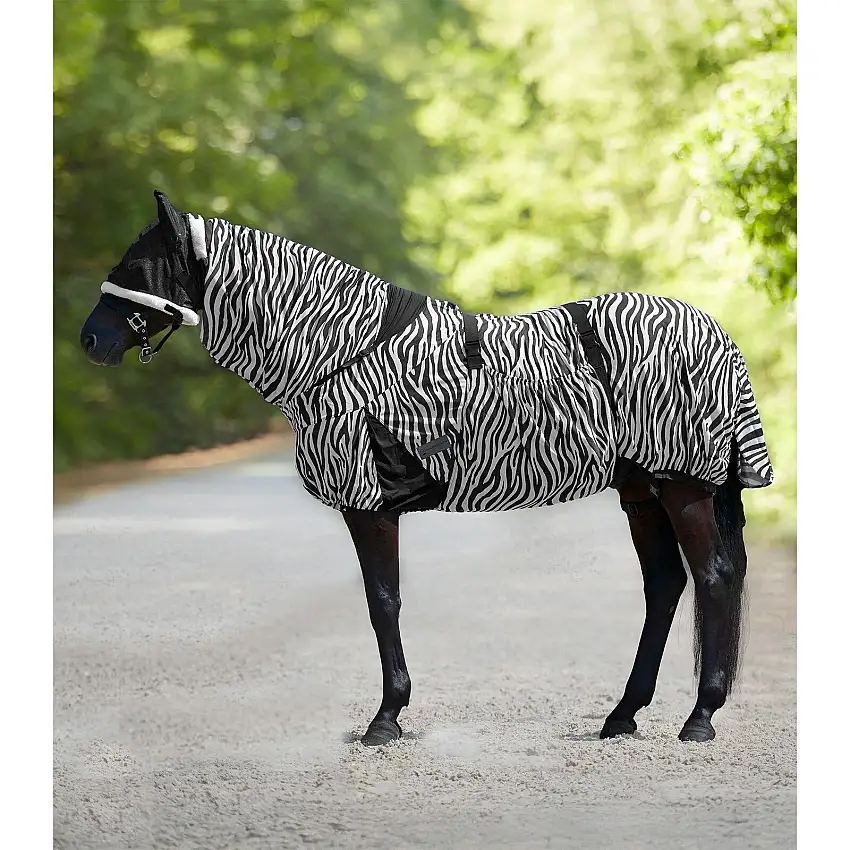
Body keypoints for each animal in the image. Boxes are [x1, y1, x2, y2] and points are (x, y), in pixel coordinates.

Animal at [80, 191, 774, 746]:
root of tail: (716, 331)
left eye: (137, 266)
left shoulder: (368, 506)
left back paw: (699, 718)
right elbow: (383, 602)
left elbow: (382, 602)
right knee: (666, 586)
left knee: (713, 579)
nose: (90, 340)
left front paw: (385, 720)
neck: (341, 349)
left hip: (683, 487)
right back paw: (622, 715)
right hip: (642, 492)